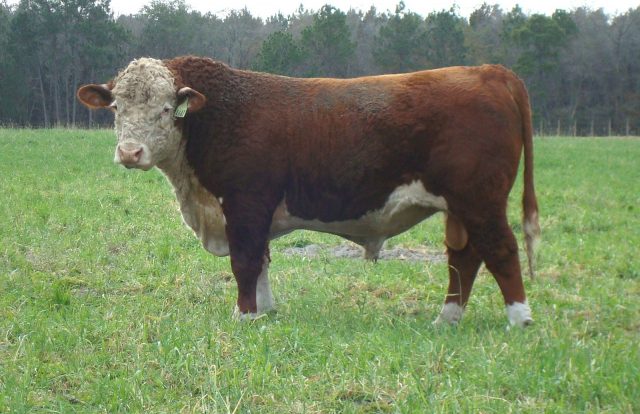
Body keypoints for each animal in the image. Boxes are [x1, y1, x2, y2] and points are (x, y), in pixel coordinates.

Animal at [79, 55, 540, 326]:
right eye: (117, 107)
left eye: (164, 109)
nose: (130, 152)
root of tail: (488, 71)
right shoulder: (253, 213)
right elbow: (262, 261)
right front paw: (265, 310)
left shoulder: (245, 203)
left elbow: (245, 262)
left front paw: (244, 316)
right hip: (461, 207)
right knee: (464, 257)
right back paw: (446, 320)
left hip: (479, 200)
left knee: (500, 250)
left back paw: (519, 319)